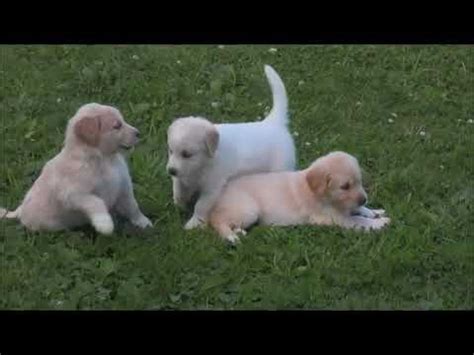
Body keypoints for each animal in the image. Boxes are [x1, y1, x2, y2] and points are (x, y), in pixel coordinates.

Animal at [0, 103, 152, 235]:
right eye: (117, 126)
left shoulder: (123, 187)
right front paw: (104, 223)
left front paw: (143, 222)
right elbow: (96, 202)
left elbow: (132, 205)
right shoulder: (74, 195)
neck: (105, 159)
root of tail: (19, 211)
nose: (138, 133)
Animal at [165, 65, 294, 229]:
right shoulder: (182, 179)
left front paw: (195, 222)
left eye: (187, 154)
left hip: (280, 167)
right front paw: (179, 206)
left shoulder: (212, 189)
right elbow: (178, 190)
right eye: (170, 151)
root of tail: (273, 122)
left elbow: (201, 206)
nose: (171, 171)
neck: (203, 164)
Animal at [210, 152, 388, 243]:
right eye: (345, 186)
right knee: (218, 221)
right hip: (249, 210)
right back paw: (231, 236)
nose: (364, 199)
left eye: (359, 182)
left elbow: (358, 210)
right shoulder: (335, 218)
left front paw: (374, 211)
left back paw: (238, 231)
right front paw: (380, 223)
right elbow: (358, 220)